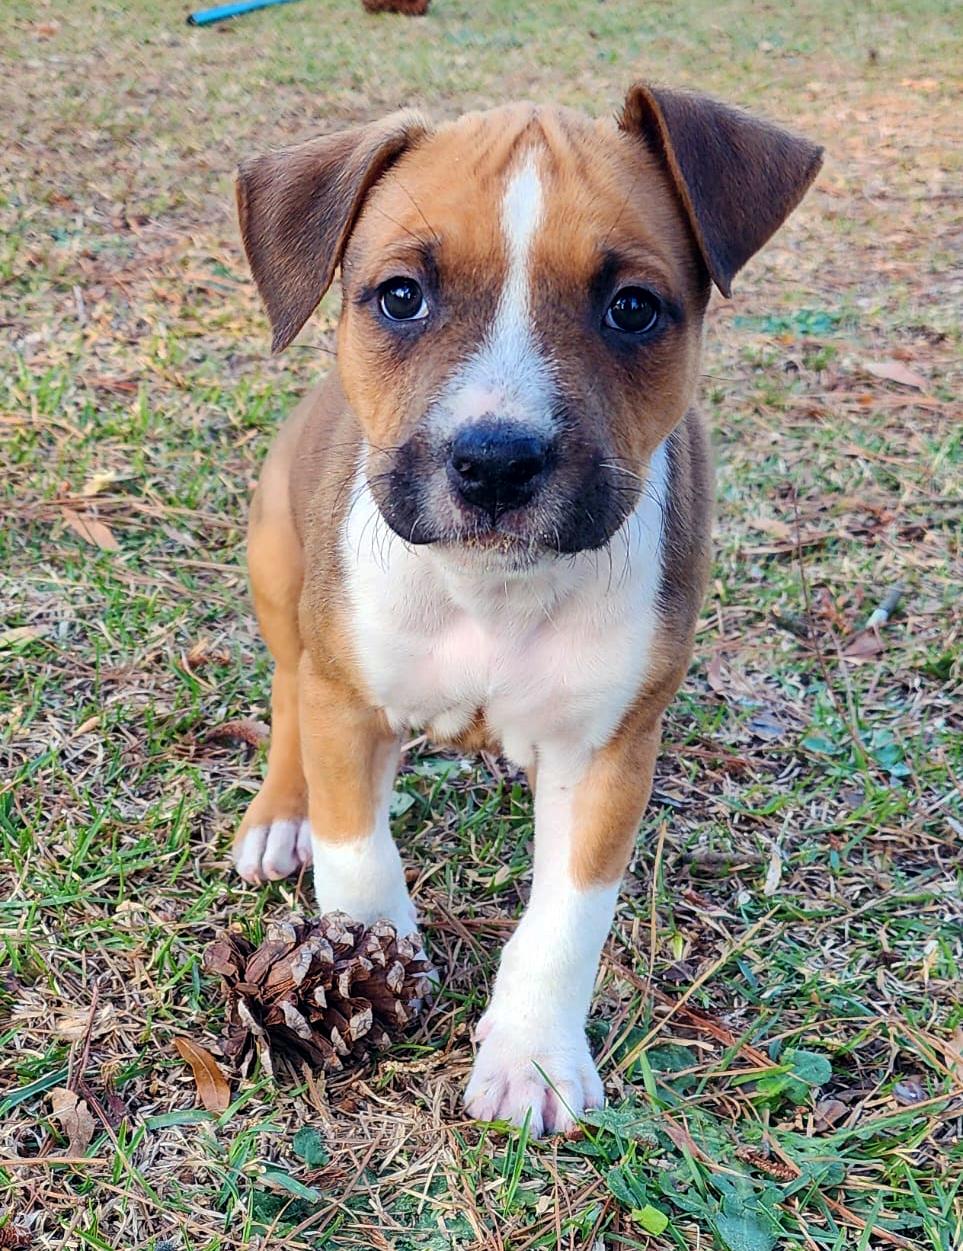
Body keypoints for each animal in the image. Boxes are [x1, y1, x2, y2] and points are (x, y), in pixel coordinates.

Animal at [232, 83, 822, 1135]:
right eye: (400, 297)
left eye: (632, 309)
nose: (496, 460)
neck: (495, 593)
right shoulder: (349, 702)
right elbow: (356, 855)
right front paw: (363, 956)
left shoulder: (606, 755)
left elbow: (565, 920)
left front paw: (532, 1057)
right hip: (278, 574)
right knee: (288, 690)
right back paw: (278, 815)